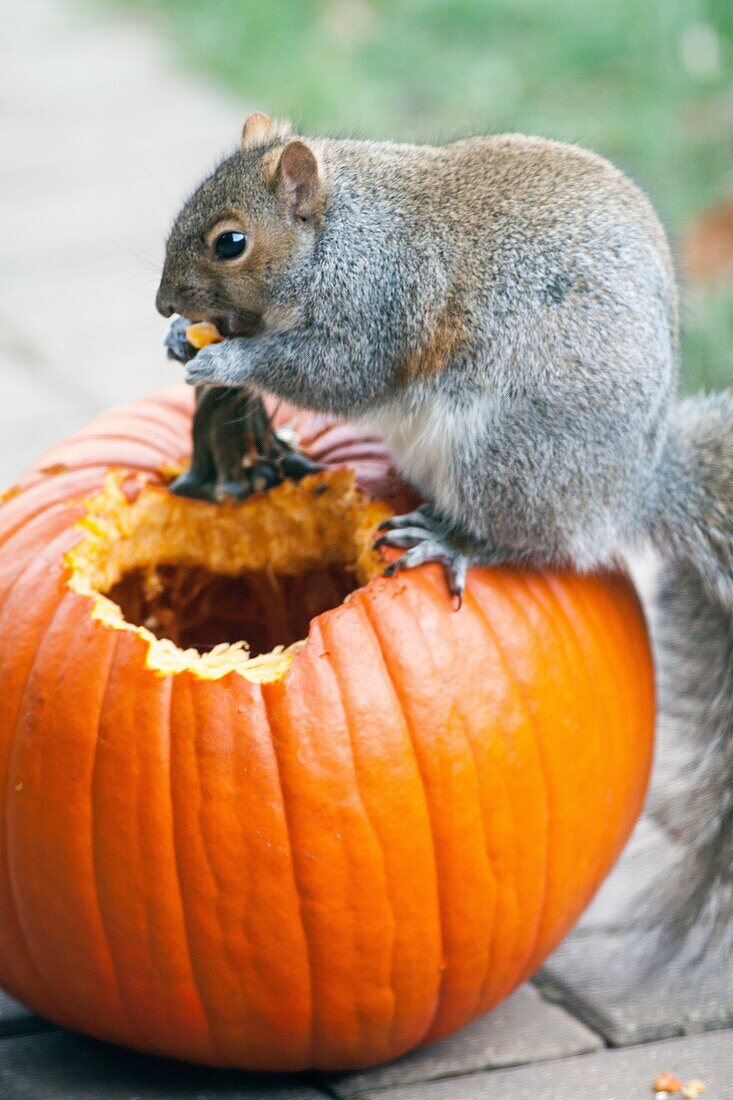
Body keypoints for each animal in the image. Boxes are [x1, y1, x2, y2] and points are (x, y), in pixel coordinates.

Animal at [157, 111, 730, 1020]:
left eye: (230, 242)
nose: (162, 304)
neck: (343, 231)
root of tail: (628, 489)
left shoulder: (377, 305)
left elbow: (333, 372)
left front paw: (224, 363)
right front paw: (187, 340)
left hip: (505, 451)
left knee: (524, 538)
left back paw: (451, 541)